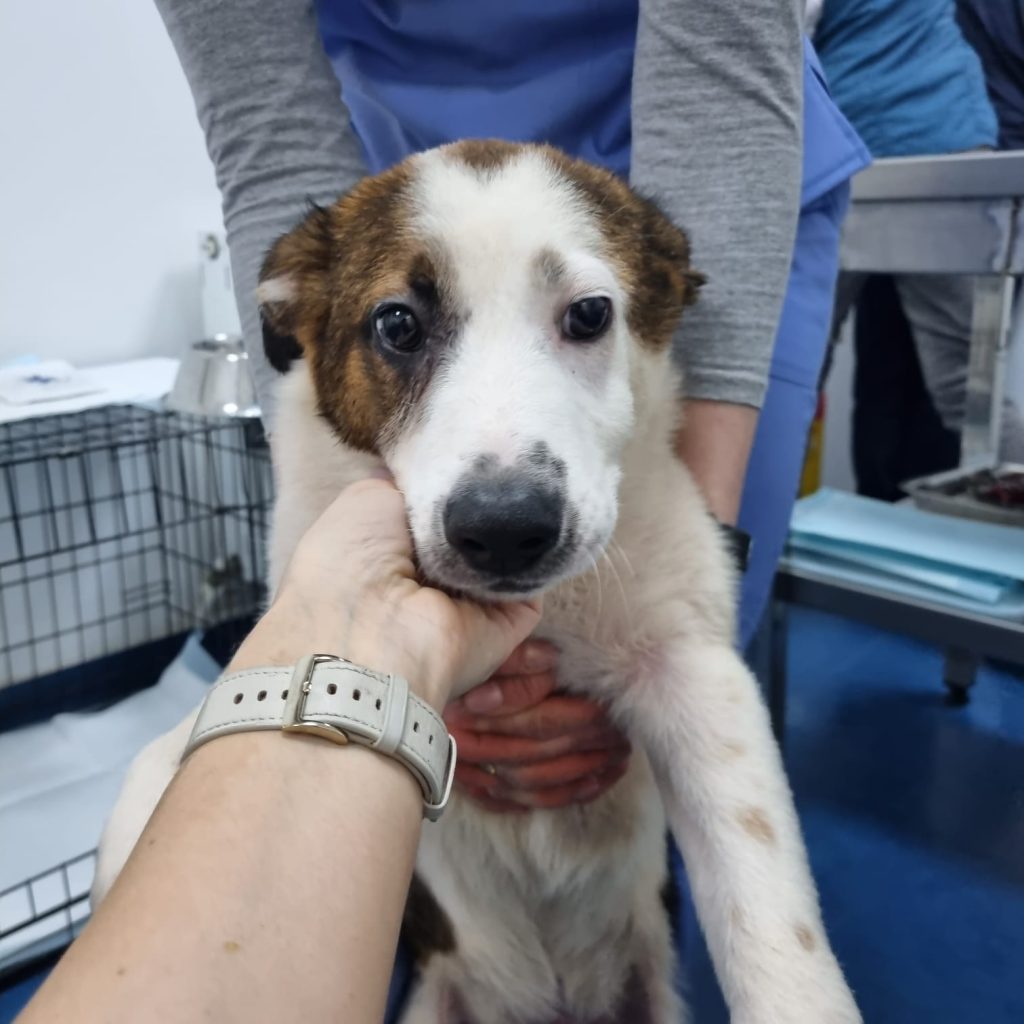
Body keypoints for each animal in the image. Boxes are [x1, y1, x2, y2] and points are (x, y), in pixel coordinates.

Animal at [94, 140, 860, 1024]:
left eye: (589, 315)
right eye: (398, 323)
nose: (504, 529)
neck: (543, 614)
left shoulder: (695, 674)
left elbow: (780, 934)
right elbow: (169, 751)